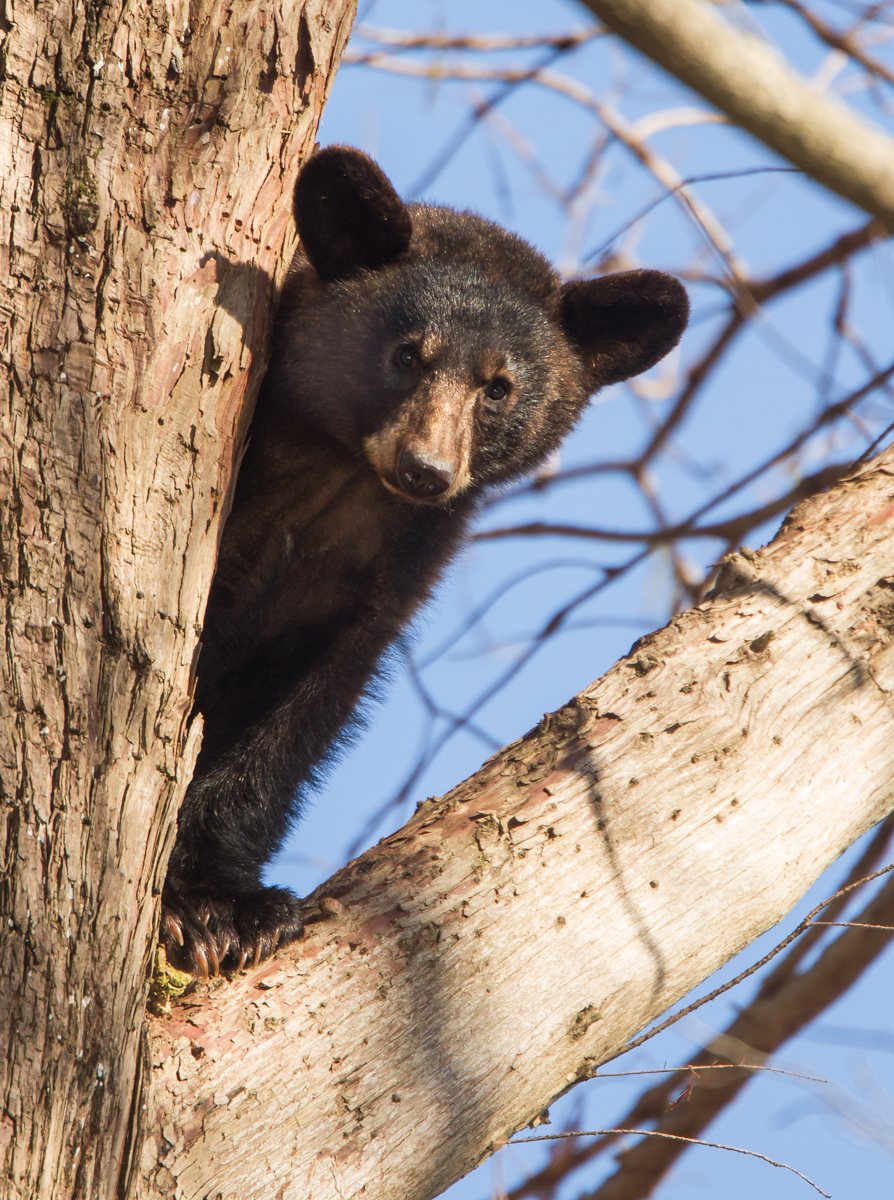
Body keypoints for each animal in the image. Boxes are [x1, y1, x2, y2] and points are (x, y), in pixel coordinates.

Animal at [160, 145, 689, 977]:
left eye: (499, 387)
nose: (426, 470)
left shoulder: (390, 567)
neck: (334, 475)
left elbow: (303, 709)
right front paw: (198, 909)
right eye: (408, 354)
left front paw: (233, 906)